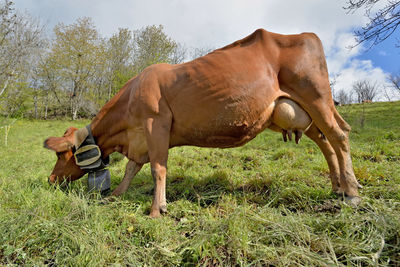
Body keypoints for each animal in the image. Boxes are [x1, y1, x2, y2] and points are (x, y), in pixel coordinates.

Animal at [43, 28, 362, 218]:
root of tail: (305, 34)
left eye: (61, 154)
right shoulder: (140, 136)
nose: (50, 179)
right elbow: (133, 168)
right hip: (302, 113)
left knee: (340, 136)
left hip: (317, 98)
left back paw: (351, 193)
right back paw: (338, 187)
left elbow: (158, 168)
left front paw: (156, 209)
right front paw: (118, 195)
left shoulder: (155, 123)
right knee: (326, 142)